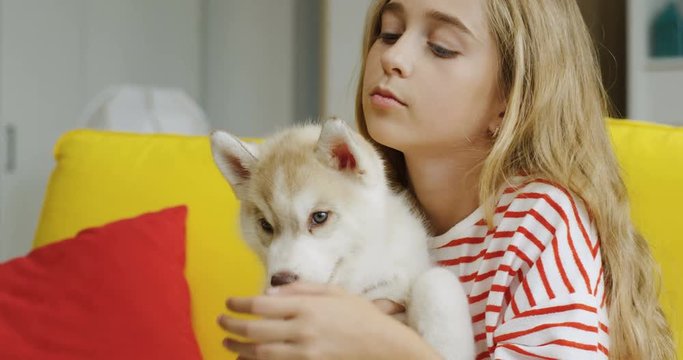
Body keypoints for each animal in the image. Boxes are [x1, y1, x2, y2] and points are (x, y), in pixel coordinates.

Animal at [211, 119, 472, 360]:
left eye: (319, 217)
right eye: (266, 225)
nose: (281, 281)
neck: (355, 285)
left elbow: (436, 280)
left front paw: (448, 347)